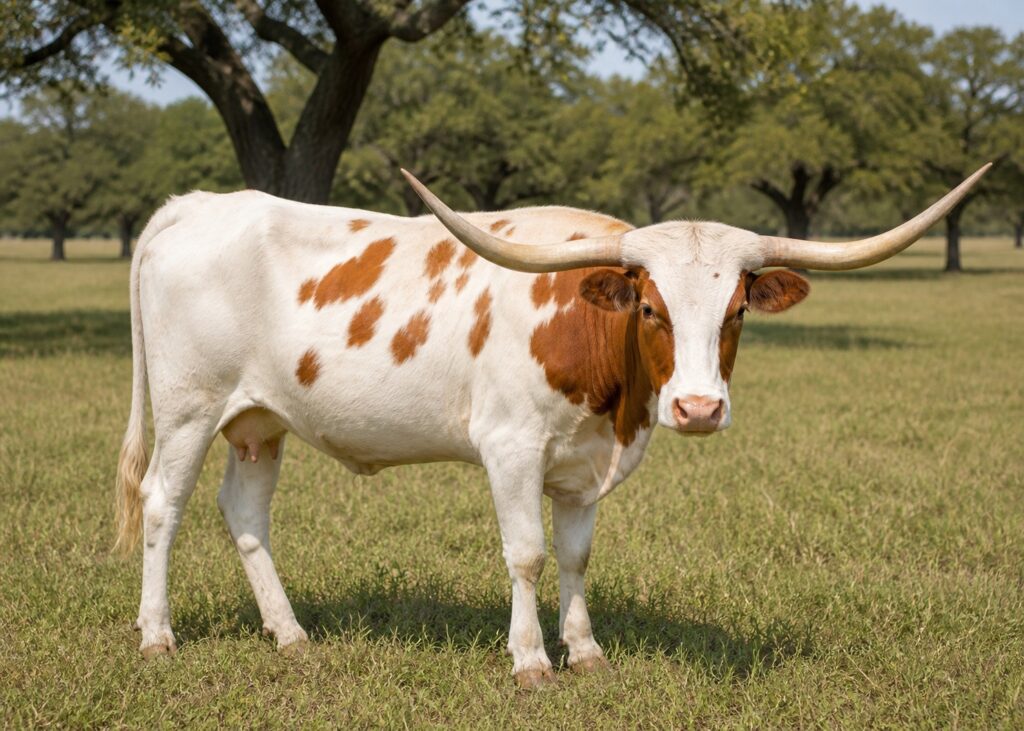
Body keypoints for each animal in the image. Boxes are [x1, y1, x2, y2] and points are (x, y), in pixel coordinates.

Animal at [115, 163, 989, 688]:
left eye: (738, 308)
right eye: (650, 306)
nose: (698, 408)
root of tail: (195, 206)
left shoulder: (583, 465)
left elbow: (575, 555)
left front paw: (587, 650)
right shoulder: (511, 449)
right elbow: (528, 553)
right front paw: (531, 659)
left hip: (259, 420)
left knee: (244, 513)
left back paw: (290, 634)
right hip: (190, 406)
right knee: (163, 503)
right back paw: (155, 636)